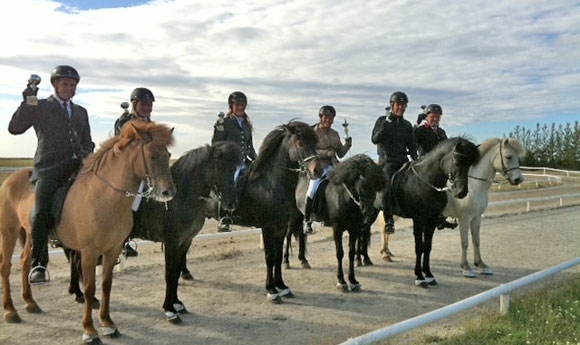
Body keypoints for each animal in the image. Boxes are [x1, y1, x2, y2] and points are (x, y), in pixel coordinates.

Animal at [0, 120, 177, 342]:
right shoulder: (89, 252)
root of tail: (10, 179)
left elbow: (106, 284)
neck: (105, 197)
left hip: (31, 233)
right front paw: (89, 330)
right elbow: (89, 286)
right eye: (152, 155)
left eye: (168, 155)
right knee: (5, 267)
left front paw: (108, 323)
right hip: (9, 231)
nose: (168, 192)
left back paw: (30, 302)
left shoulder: (113, 250)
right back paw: (10, 310)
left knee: (24, 262)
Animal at [294, 153, 386, 290]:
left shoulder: (354, 229)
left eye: (376, 185)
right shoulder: (337, 229)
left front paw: (353, 280)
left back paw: (303, 260)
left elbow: (351, 253)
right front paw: (341, 281)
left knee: (301, 234)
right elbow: (340, 253)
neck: (345, 198)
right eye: (363, 184)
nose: (368, 212)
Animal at [378, 136, 478, 286]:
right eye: (457, 161)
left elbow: (428, 247)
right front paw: (419, 276)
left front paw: (429, 275)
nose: (461, 192)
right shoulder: (418, 220)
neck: (425, 181)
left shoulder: (432, 219)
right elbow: (419, 247)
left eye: (470, 164)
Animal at [444, 137, 524, 276]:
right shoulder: (464, 219)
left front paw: (481, 265)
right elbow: (464, 242)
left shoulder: (476, 218)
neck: (473, 186)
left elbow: (476, 240)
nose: (519, 179)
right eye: (508, 156)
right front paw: (466, 267)